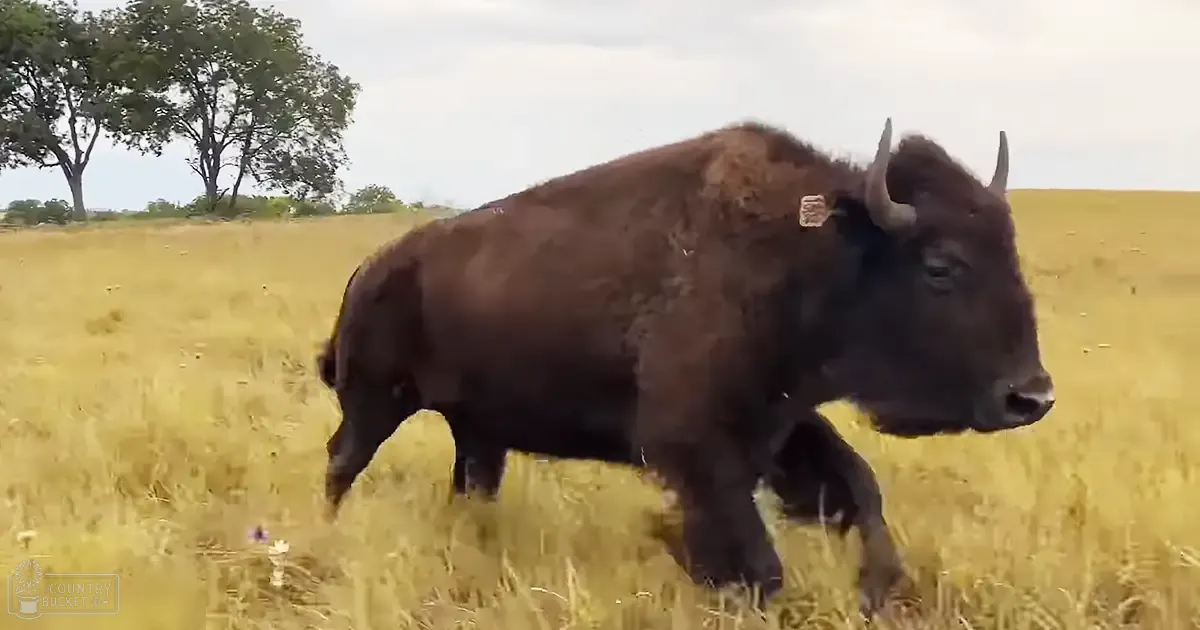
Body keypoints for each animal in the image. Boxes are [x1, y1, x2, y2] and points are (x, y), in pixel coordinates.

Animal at [314, 118, 1055, 616]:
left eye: (1012, 251)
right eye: (941, 266)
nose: (1032, 397)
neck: (808, 256)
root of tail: (371, 269)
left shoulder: (780, 423)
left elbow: (857, 490)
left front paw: (879, 590)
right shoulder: (696, 445)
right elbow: (756, 559)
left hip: (477, 430)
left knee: (469, 484)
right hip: (374, 401)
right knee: (342, 462)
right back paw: (327, 534)